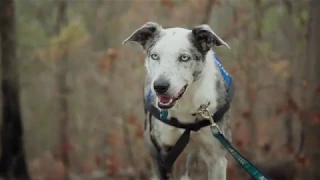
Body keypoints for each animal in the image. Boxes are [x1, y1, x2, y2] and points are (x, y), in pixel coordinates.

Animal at [123, 21, 232, 179]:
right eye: (154, 56)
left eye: (184, 58)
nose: (160, 86)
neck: (186, 105)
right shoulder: (163, 156)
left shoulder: (217, 158)